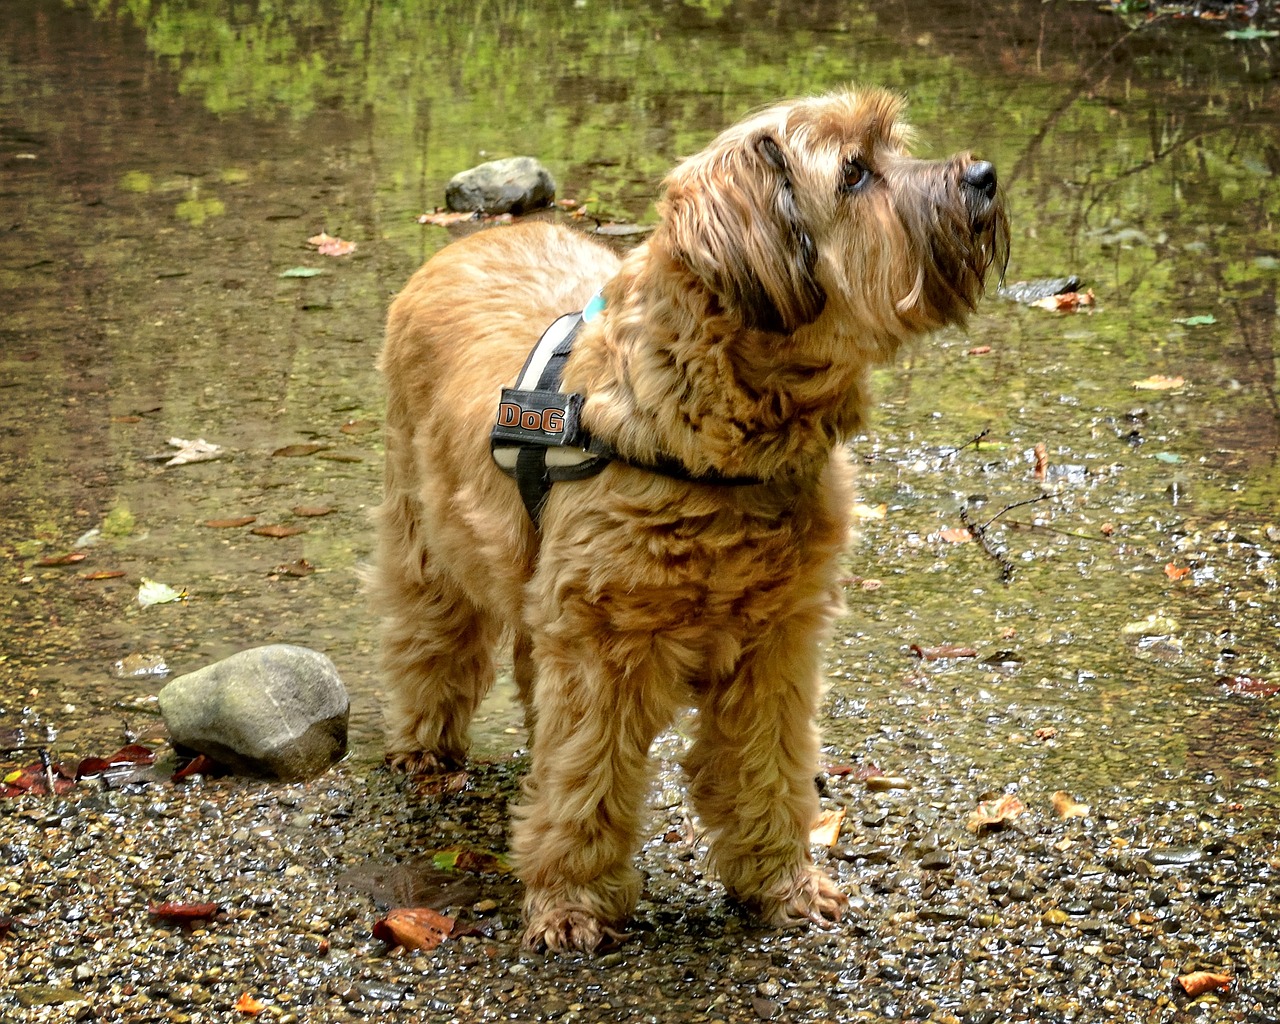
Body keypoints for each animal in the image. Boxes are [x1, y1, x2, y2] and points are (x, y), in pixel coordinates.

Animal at [371, 85, 1008, 952]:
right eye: (853, 173)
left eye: (894, 147)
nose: (984, 175)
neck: (719, 438)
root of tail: (470, 244)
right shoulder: (602, 654)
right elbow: (585, 783)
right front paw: (571, 902)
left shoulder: (778, 647)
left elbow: (768, 770)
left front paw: (781, 884)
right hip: (427, 540)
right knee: (429, 646)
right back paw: (427, 752)